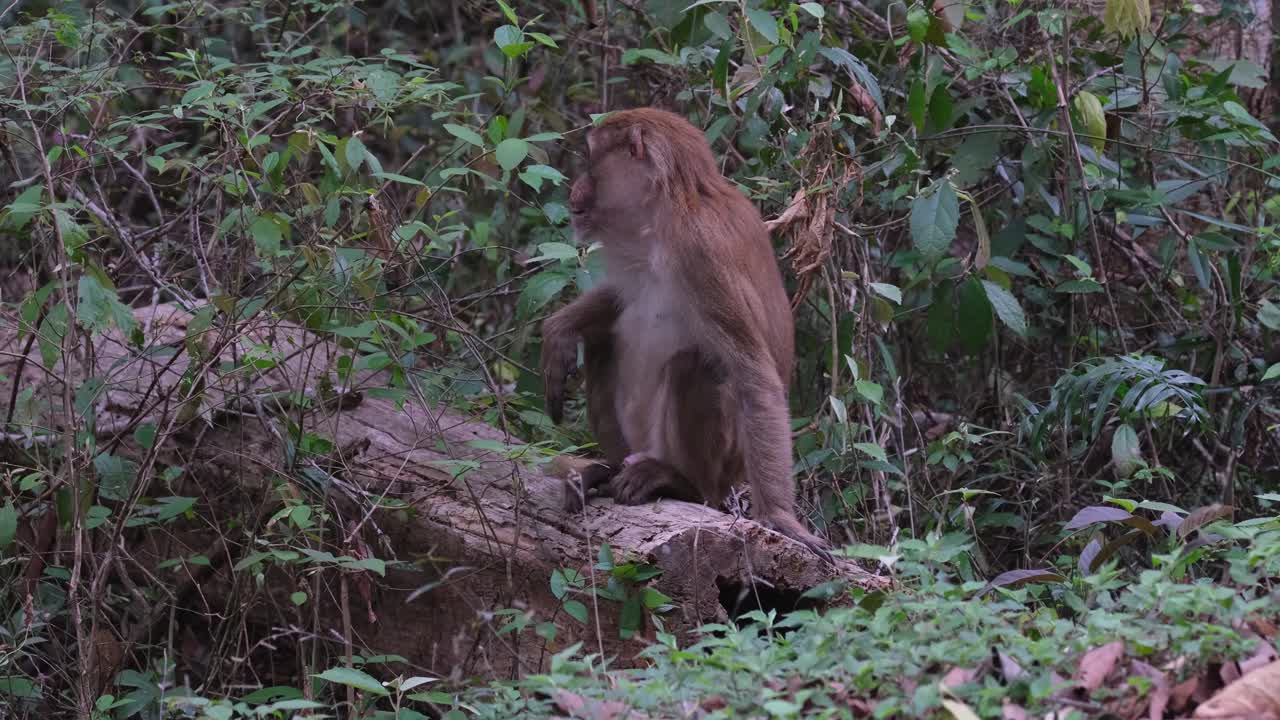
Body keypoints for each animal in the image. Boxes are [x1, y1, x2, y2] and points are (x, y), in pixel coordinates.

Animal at [540, 107, 833, 563]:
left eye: (590, 162)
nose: (576, 187)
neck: (665, 214)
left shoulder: (701, 249)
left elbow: (753, 375)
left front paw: (782, 519)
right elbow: (618, 299)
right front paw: (559, 330)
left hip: (721, 464)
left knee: (694, 365)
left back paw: (681, 482)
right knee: (605, 342)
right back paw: (608, 469)